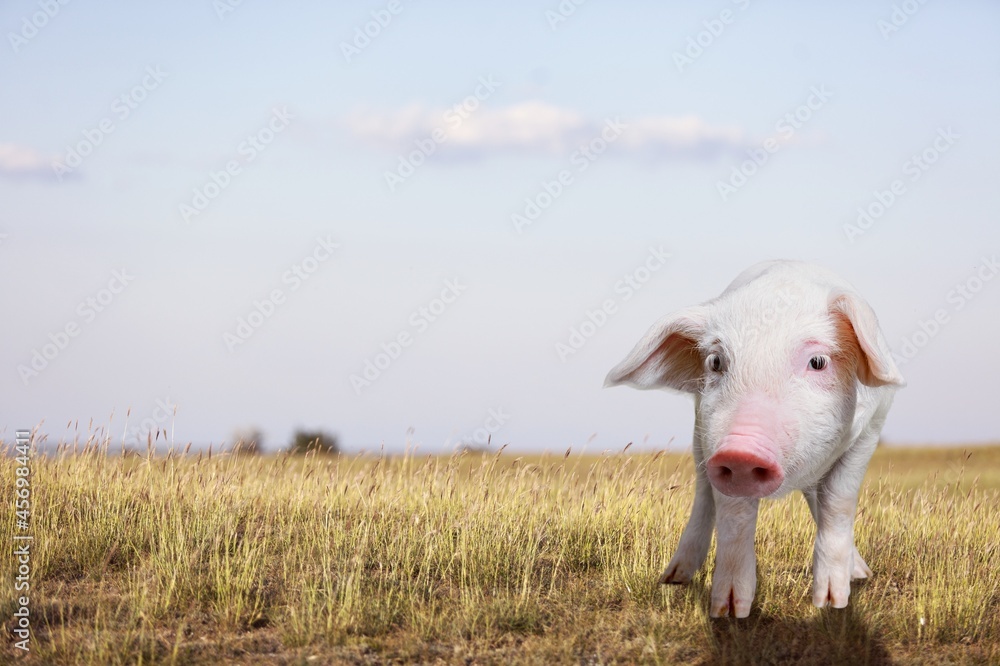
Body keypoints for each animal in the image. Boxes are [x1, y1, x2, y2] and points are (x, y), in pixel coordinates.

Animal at [604, 260, 904, 616]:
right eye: (716, 362)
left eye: (818, 362)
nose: (741, 451)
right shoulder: (713, 439)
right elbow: (734, 516)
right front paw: (730, 611)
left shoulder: (870, 430)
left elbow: (838, 503)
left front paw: (832, 603)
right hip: (699, 436)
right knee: (703, 496)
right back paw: (674, 578)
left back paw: (860, 574)